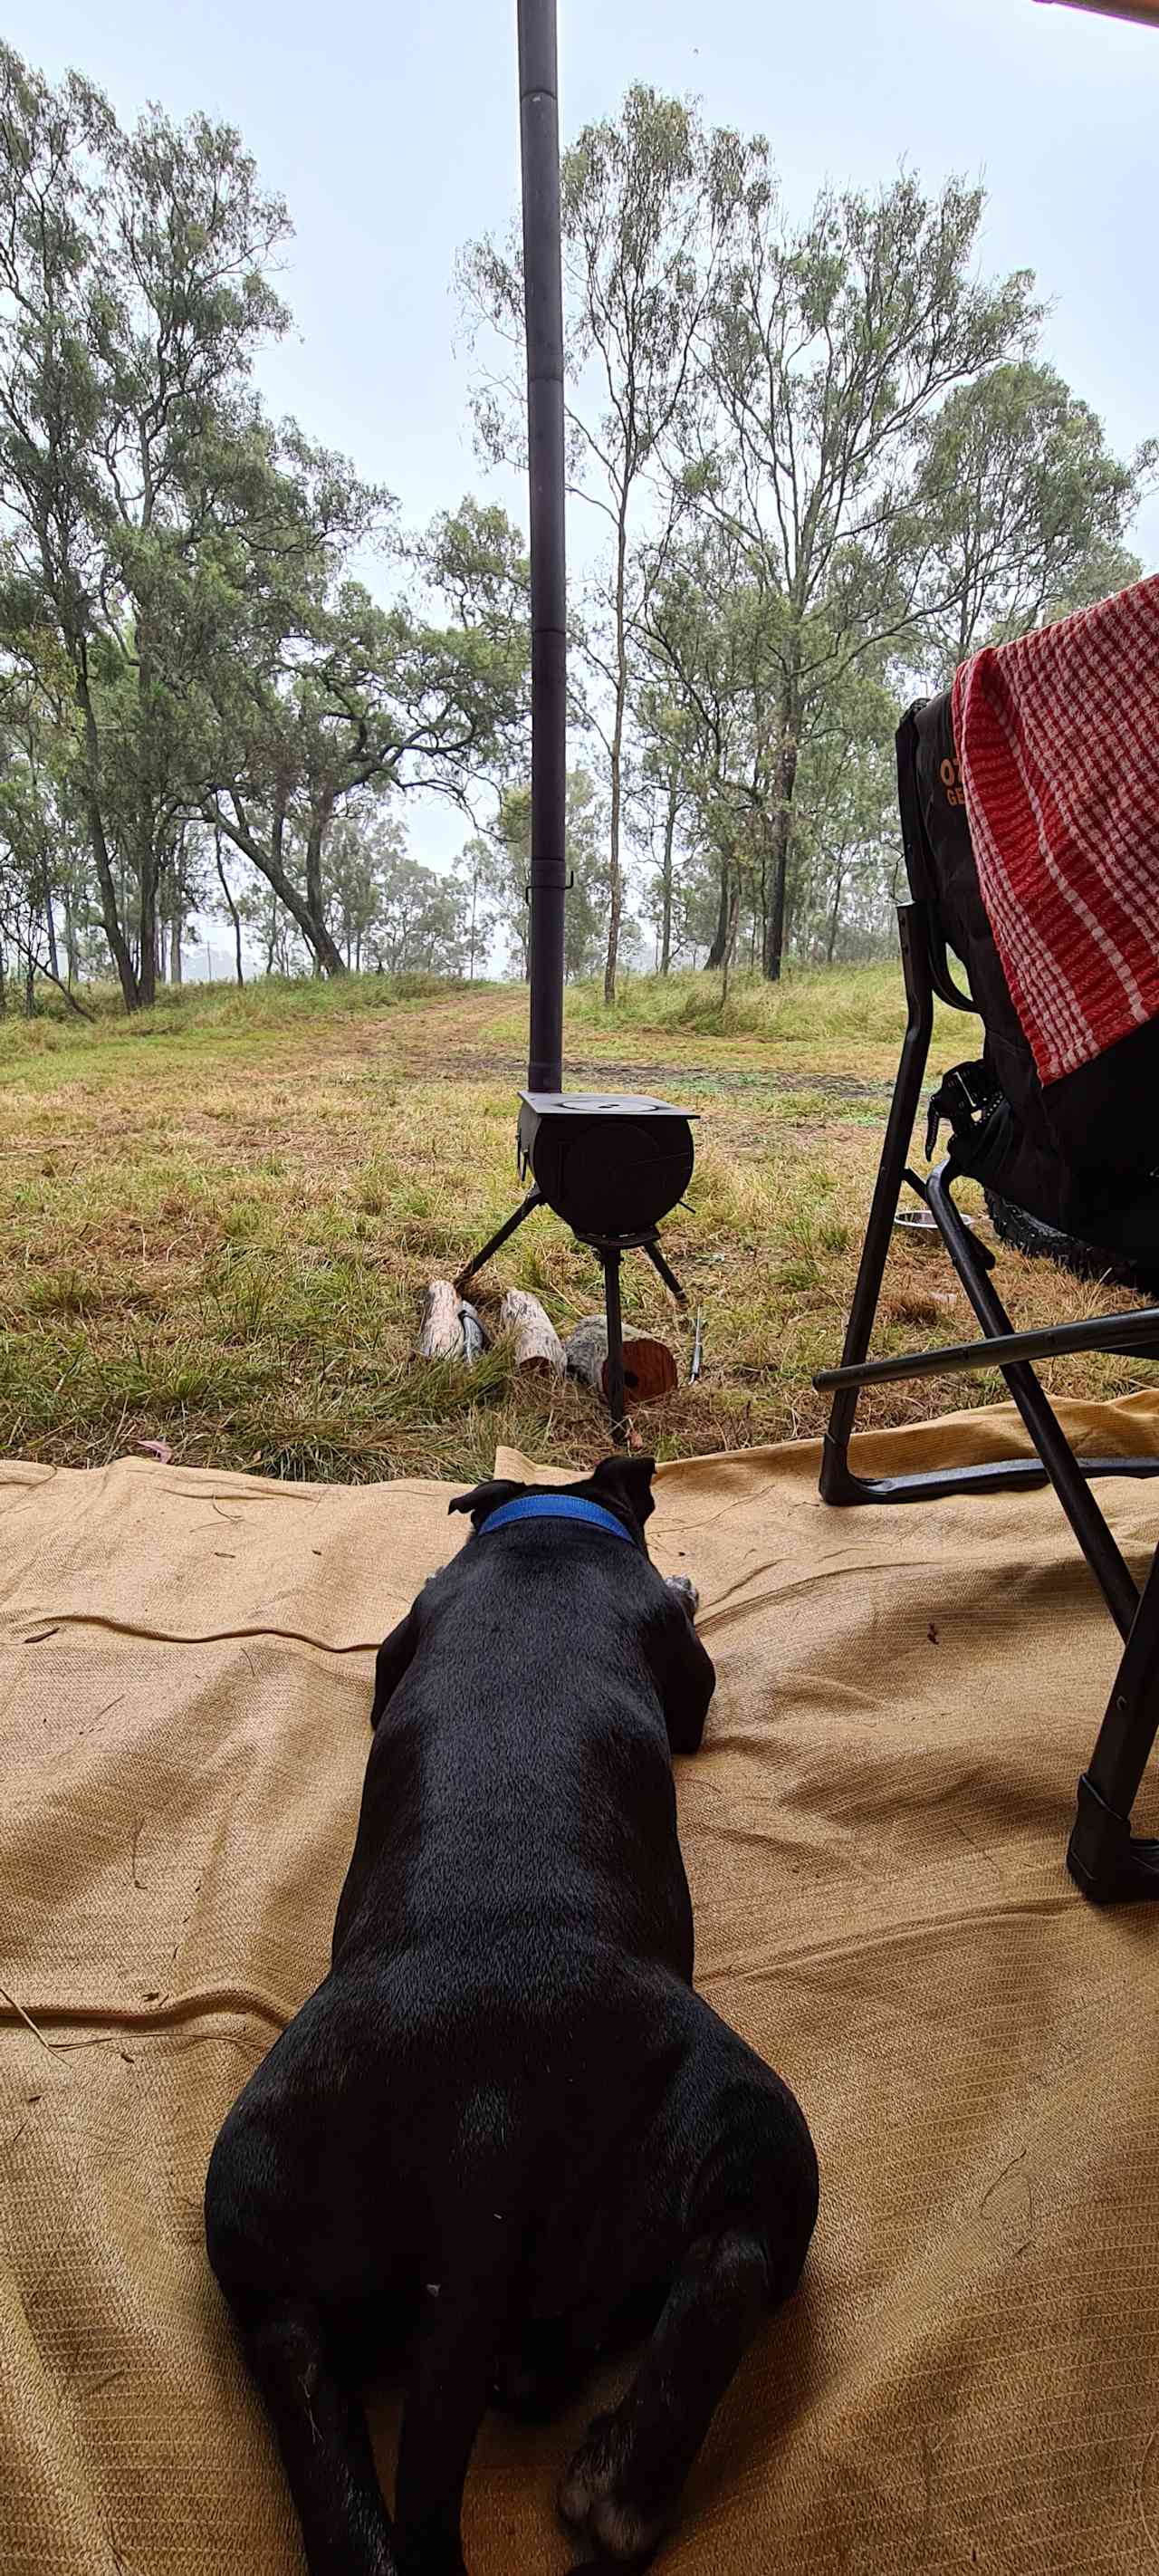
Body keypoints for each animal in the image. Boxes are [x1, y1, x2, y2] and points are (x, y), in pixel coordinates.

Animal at [208, 1463, 819, 2576]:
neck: (546, 1535)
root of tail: (483, 2119)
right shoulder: (688, 1679)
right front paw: (688, 1579)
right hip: (753, 2123)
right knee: (738, 2259)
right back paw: (620, 2486)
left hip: (258, 2206)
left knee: (308, 2391)